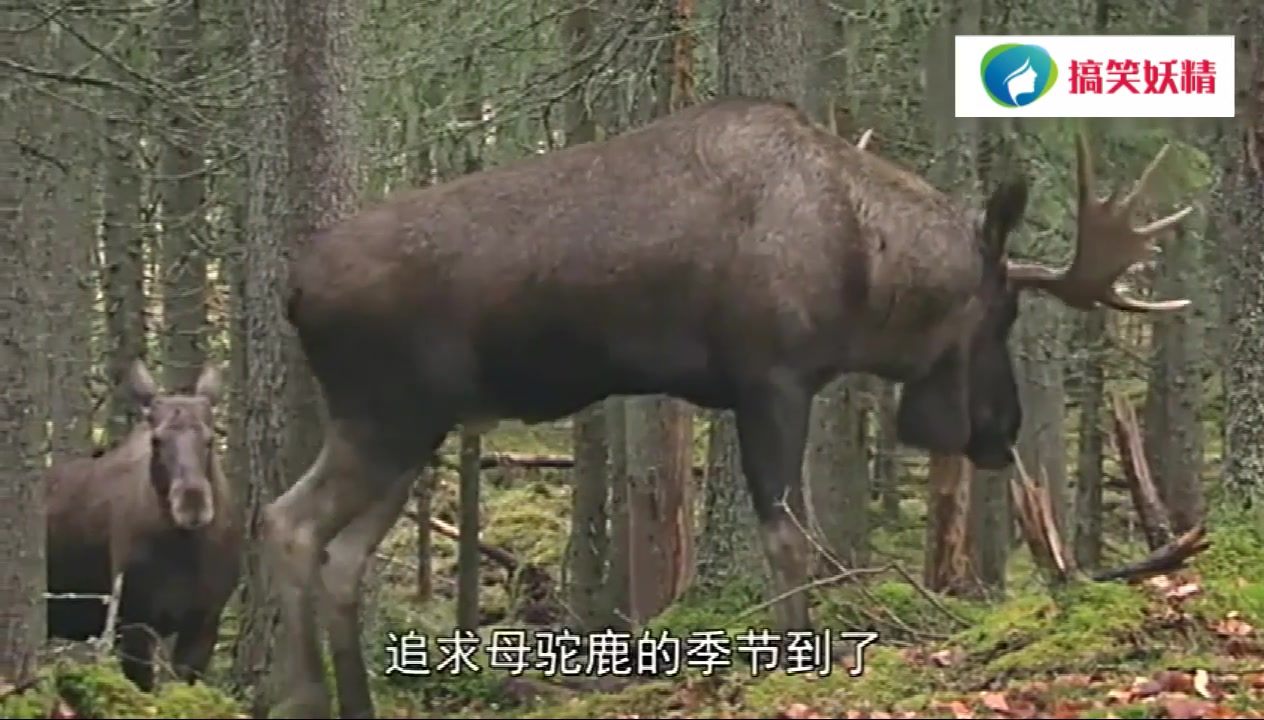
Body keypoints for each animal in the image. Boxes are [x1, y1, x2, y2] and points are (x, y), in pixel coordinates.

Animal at [46, 358, 241, 687]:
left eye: (210, 438)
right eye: (156, 439)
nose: (192, 504)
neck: (185, 549)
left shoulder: (205, 620)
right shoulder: (134, 620)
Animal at [259, 96, 1193, 717]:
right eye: (1000, 315)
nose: (1003, 433)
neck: (865, 271)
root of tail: (294, 289)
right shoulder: (772, 378)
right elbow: (790, 538)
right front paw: (796, 659)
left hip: (412, 429)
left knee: (339, 553)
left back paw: (354, 703)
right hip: (385, 416)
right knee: (287, 522)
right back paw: (304, 697)